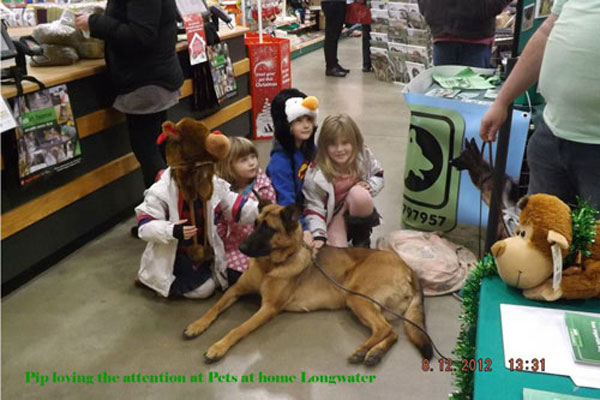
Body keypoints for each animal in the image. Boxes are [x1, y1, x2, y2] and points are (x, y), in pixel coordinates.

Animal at [183, 203, 432, 366]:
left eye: (268, 228)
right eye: (255, 224)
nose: (242, 248)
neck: (270, 265)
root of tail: (407, 266)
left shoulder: (268, 308)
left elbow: (238, 328)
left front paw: (218, 347)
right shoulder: (236, 290)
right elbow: (214, 307)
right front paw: (196, 325)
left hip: (356, 297)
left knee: (384, 329)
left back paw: (363, 350)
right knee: (392, 333)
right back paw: (375, 353)